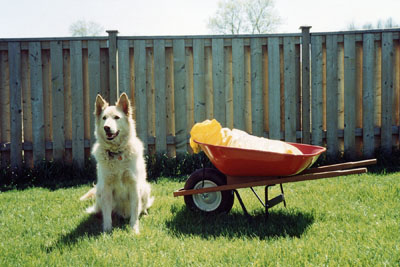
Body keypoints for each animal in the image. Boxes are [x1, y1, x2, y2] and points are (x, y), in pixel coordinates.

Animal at [80, 92, 154, 234]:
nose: (106, 127)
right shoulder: (106, 187)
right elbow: (107, 213)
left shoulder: (134, 185)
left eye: (116, 117)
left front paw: (134, 229)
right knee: (101, 210)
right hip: (99, 190)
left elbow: (135, 210)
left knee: (143, 207)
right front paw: (107, 231)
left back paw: (145, 213)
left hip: (145, 187)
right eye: (104, 118)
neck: (116, 154)